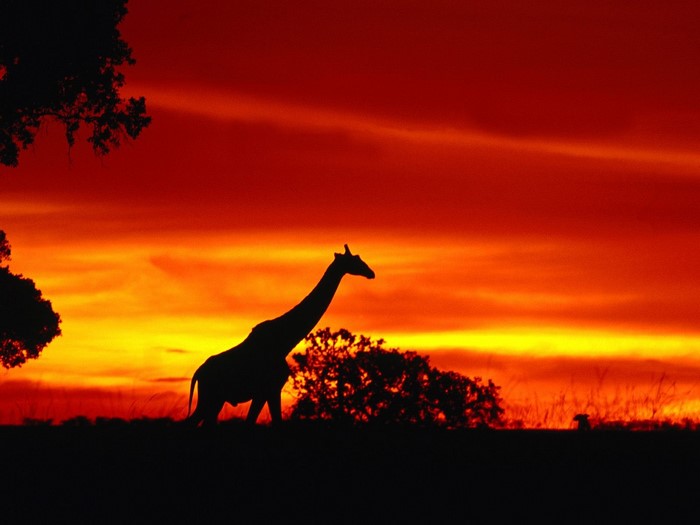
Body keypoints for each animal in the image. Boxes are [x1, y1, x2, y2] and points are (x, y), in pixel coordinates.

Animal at [185, 244, 375, 427]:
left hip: (216, 400)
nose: (371, 273)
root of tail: (199, 372)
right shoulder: (268, 388)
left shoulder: (269, 391)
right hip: (211, 398)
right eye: (355, 259)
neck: (285, 341)